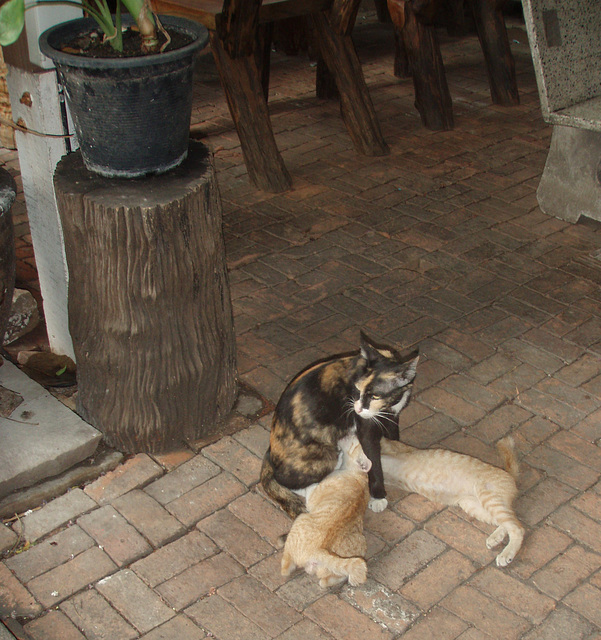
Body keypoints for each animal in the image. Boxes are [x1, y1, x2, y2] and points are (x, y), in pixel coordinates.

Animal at [260, 332, 420, 516]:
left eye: (375, 396)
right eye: (357, 390)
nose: (357, 409)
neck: (391, 403)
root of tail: (270, 452)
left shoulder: (392, 417)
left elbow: (393, 437)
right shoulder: (366, 429)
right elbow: (374, 463)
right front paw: (378, 497)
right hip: (324, 456)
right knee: (284, 480)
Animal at [280, 432, 370, 588]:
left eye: (356, 442)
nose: (353, 432)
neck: (357, 473)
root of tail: (318, 550)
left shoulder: (312, 495)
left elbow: (307, 486)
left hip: (301, 518)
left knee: (285, 567)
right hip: (359, 545)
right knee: (327, 579)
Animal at [382, 438, 524, 568]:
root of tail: (509, 475)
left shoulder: (389, 450)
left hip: (488, 498)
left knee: (518, 528)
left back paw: (506, 554)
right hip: (474, 506)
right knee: (510, 523)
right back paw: (496, 538)